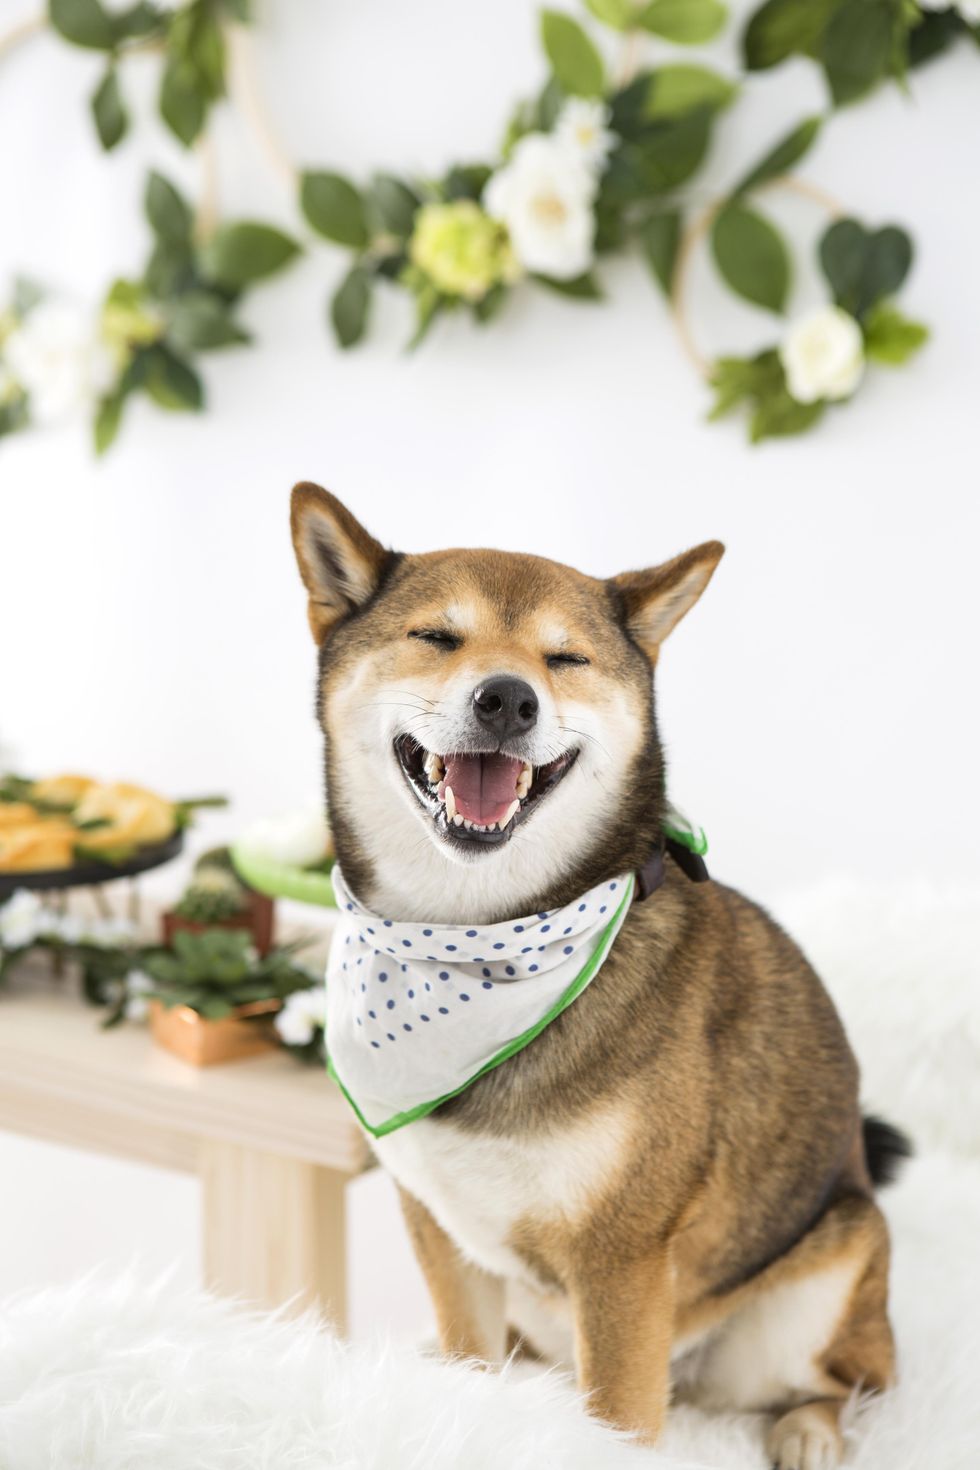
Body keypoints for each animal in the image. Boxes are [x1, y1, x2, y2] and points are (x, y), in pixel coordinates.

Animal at [287, 485, 910, 1470]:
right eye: (437, 636)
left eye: (565, 657)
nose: (507, 698)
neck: (472, 944)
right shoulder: (442, 1231)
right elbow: (467, 1364)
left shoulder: (621, 1257)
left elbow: (617, 1418)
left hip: (823, 1279)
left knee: (854, 1382)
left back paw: (810, 1430)